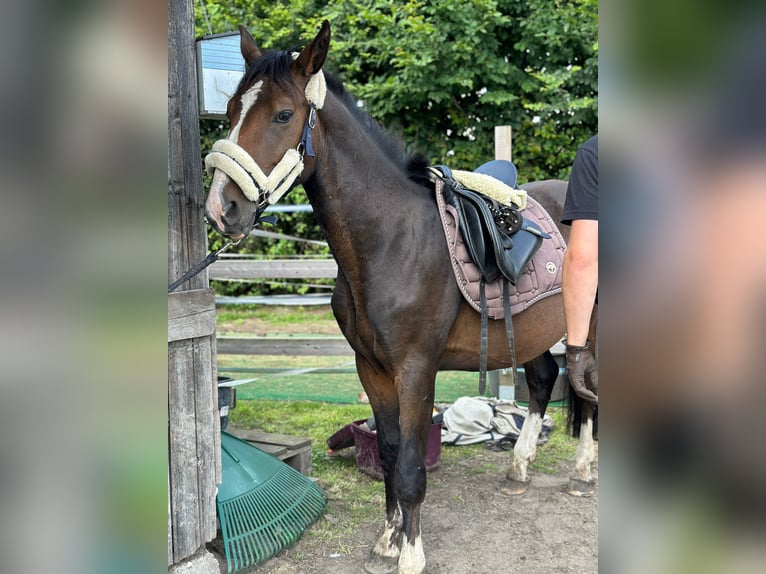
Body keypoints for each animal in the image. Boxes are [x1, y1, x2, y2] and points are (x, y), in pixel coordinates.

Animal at [206, 21, 600, 574]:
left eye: (283, 115)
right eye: (230, 111)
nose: (222, 208)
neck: (390, 241)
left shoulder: (415, 370)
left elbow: (412, 466)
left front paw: (411, 553)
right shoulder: (371, 367)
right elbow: (390, 452)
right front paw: (389, 538)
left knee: (588, 392)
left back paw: (583, 470)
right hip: (535, 330)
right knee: (546, 380)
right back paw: (520, 465)